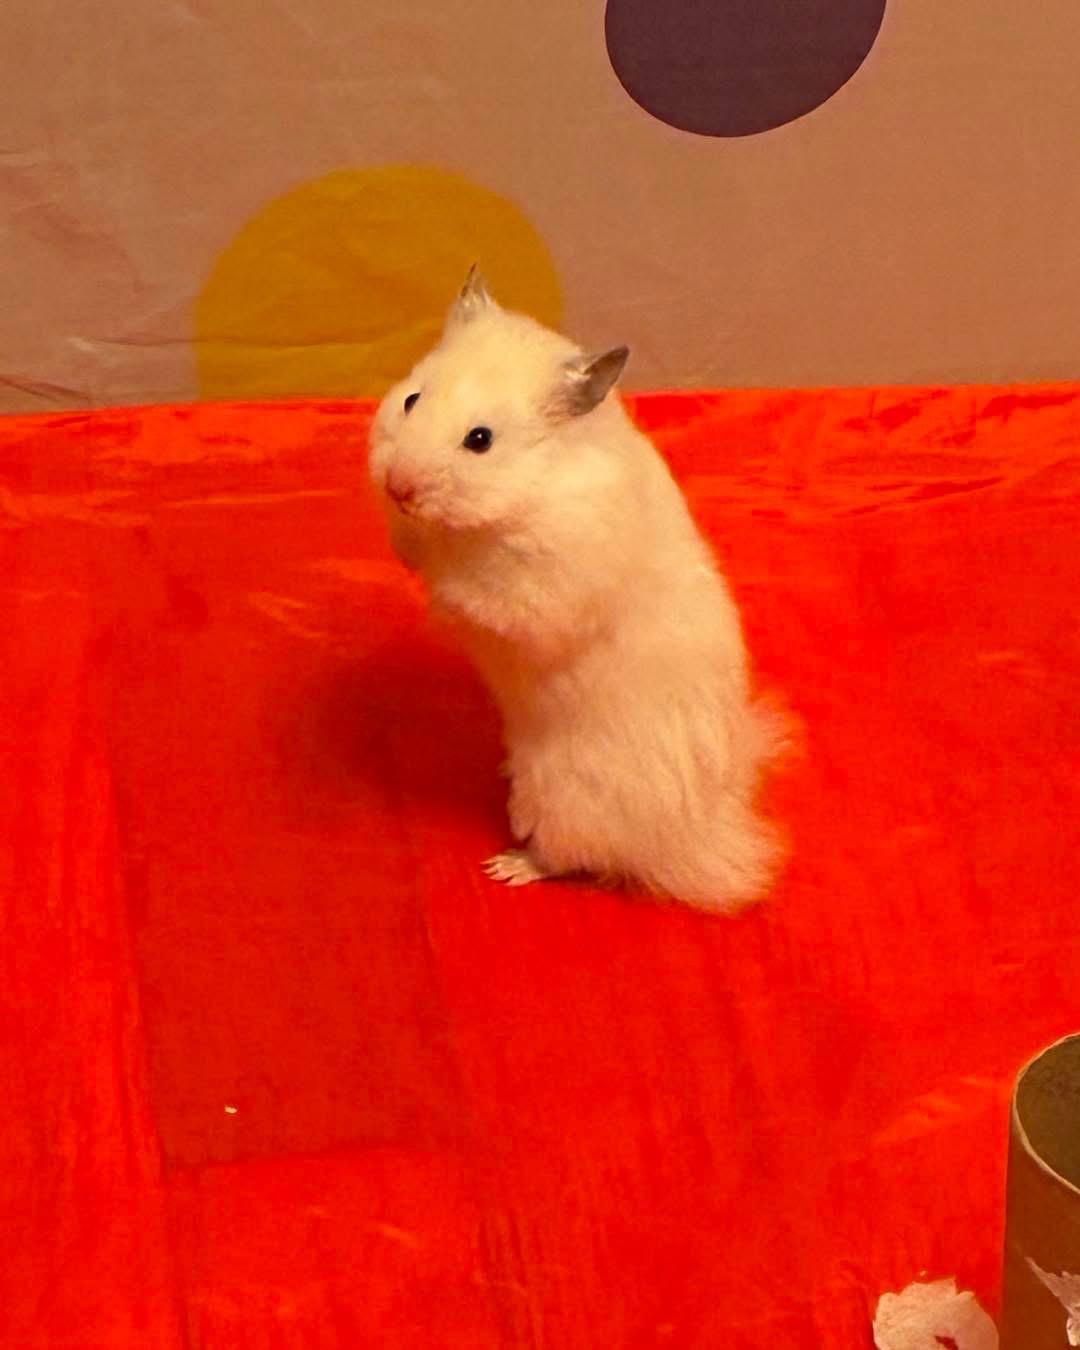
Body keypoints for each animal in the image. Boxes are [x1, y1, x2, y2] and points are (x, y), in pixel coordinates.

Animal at [368, 266, 789, 911]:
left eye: (480, 439)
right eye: (413, 399)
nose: (398, 485)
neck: (522, 496)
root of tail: (695, 838)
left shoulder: (542, 593)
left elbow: (477, 594)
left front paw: (439, 594)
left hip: (564, 801)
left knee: (572, 859)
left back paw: (508, 866)